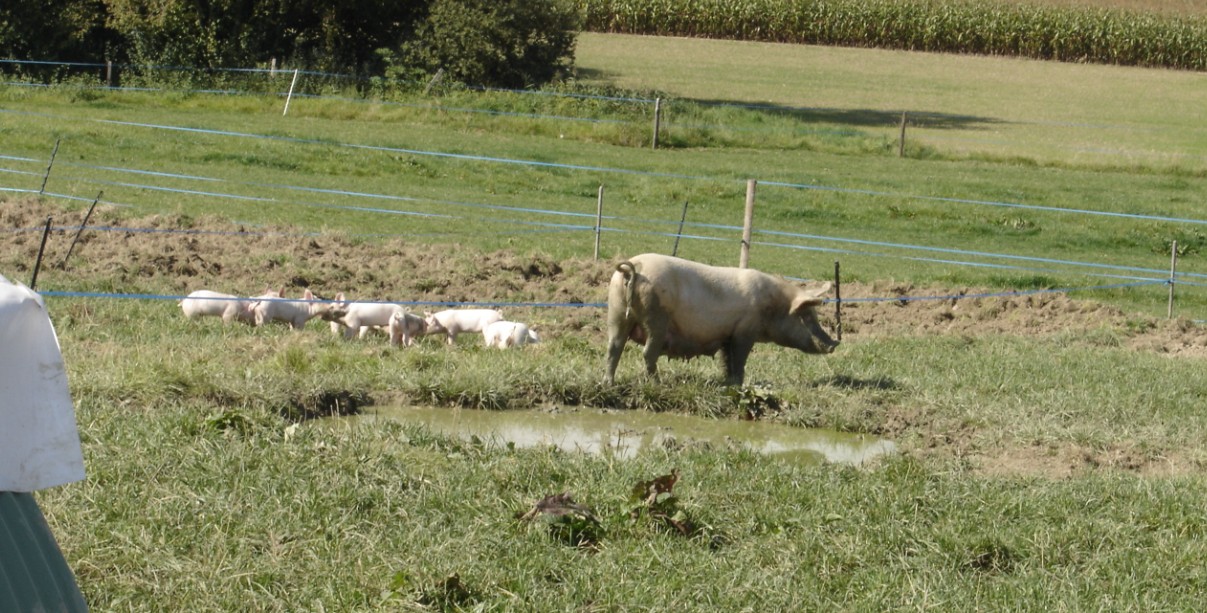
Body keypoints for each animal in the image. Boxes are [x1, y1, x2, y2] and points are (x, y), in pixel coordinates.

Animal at [608, 252, 835, 386]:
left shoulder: (728, 334)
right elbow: (740, 359)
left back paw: (608, 383)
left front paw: (728, 382)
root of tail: (634, 268)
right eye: (806, 316)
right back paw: (657, 384)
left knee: (614, 348)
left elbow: (727, 360)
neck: (774, 305)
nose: (834, 343)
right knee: (648, 353)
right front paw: (738, 385)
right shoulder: (745, 331)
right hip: (656, 317)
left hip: (617, 311)